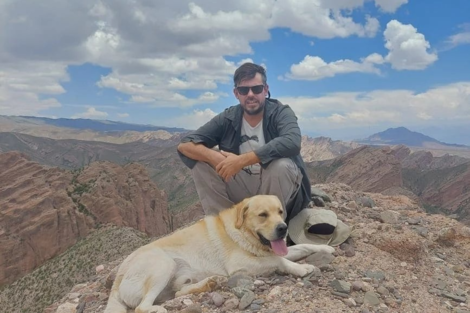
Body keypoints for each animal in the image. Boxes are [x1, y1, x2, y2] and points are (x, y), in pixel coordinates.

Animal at [105, 194, 336, 310]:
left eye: (280, 212)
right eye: (263, 215)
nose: (283, 228)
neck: (242, 232)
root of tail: (118, 277)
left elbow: (303, 246)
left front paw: (326, 247)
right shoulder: (241, 265)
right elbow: (280, 262)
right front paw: (302, 268)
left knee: (178, 292)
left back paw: (208, 283)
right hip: (163, 264)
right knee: (142, 307)